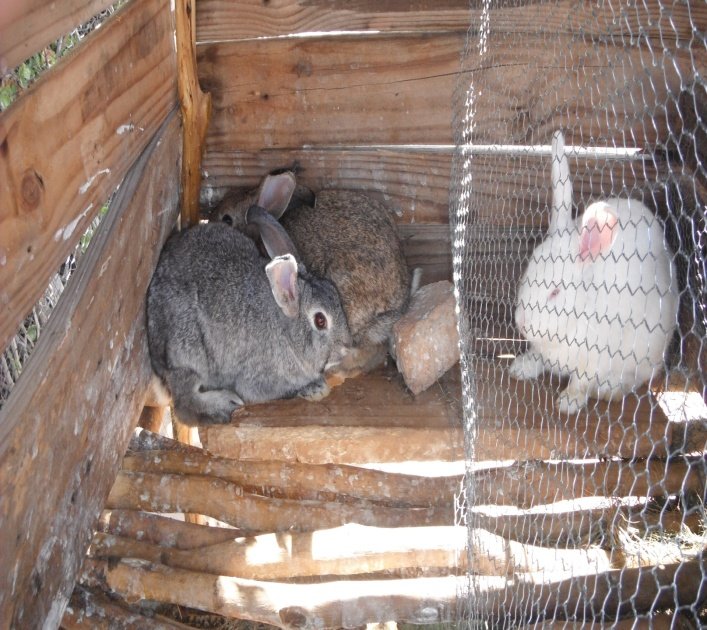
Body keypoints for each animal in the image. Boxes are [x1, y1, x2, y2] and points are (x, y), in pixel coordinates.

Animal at [146, 172, 351, 426]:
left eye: (336, 293)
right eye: (320, 321)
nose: (346, 348)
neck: (286, 331)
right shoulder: (259, 379)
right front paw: (314, 388)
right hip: (188, 350)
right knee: (186, 403)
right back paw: (224, 406)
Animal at [509, 130, 680, 414]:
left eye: (555, 292)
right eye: (526, 273)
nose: (522, 322)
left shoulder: (599, 357)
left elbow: (582, 381)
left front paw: (568, 402)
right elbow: (538, 358)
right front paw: (521, 367)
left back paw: (610, 390)